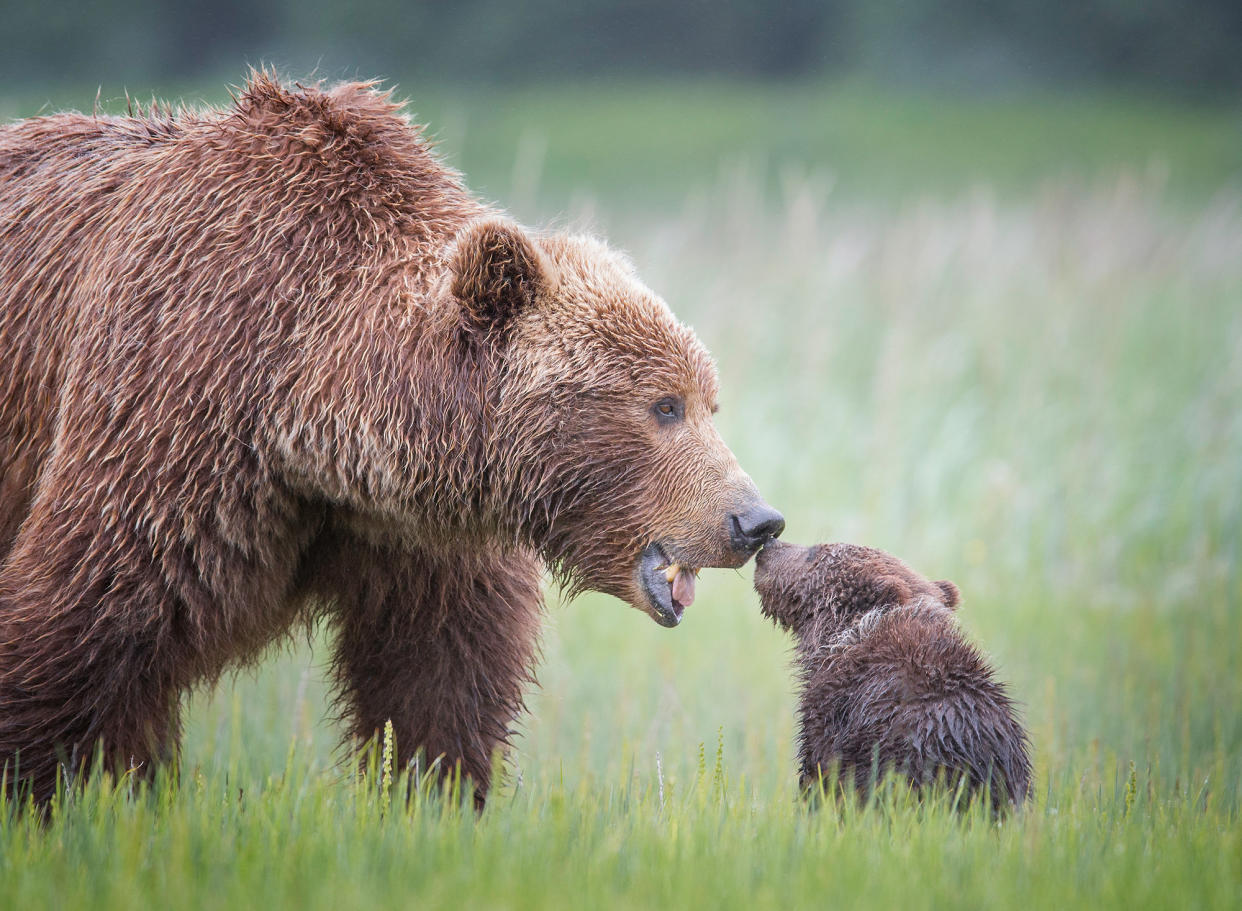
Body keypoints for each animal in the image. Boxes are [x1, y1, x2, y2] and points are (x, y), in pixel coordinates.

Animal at [0, 74, 775, 805]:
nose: (755, 520)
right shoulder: (175, 413)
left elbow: (438, 676)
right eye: (664, 405)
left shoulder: (420, 537)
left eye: (707, 400)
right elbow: (80, 622)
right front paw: (48, 793)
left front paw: (432, 794)